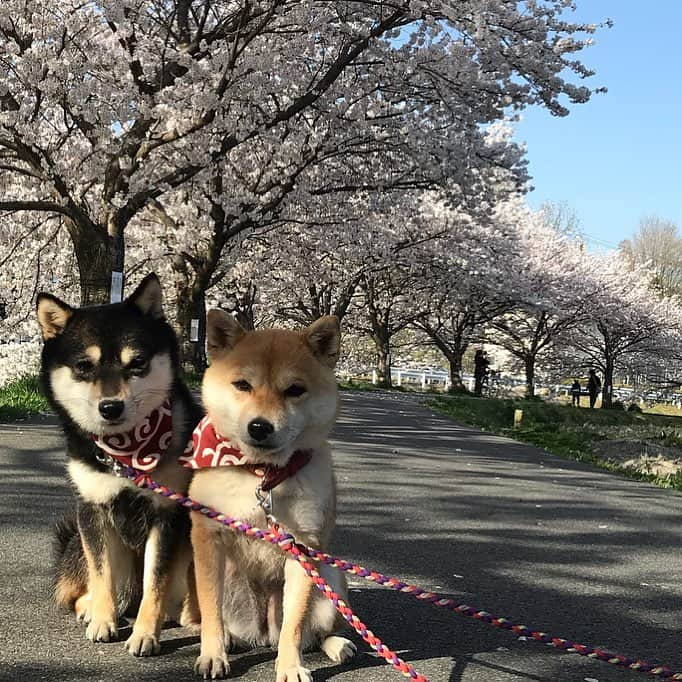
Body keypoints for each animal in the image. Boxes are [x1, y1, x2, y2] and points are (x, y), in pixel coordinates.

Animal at [36, 272, 201, 652]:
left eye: (137, 362)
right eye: (84, 366)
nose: (110, 407)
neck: (127, 451)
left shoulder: (167, 514)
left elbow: (155, 583)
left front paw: (145, 634)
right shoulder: (93, 510)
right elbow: (102, 573)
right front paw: (102, 620)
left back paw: (189, 615)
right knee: (89, 589)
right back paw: (90, 609)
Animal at [186, 310, 356, 676]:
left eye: (295, 390)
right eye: (242, 385)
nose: (260, 426)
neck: (261, 473)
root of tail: (262, 632)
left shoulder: (303, 547)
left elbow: (294, 626)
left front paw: (290, 667)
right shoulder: (208, 538)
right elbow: (211, 610)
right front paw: (212, 654)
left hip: (330, 577)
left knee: (314, 633)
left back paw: (337, 644)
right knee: (217, 617)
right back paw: (229, 639)